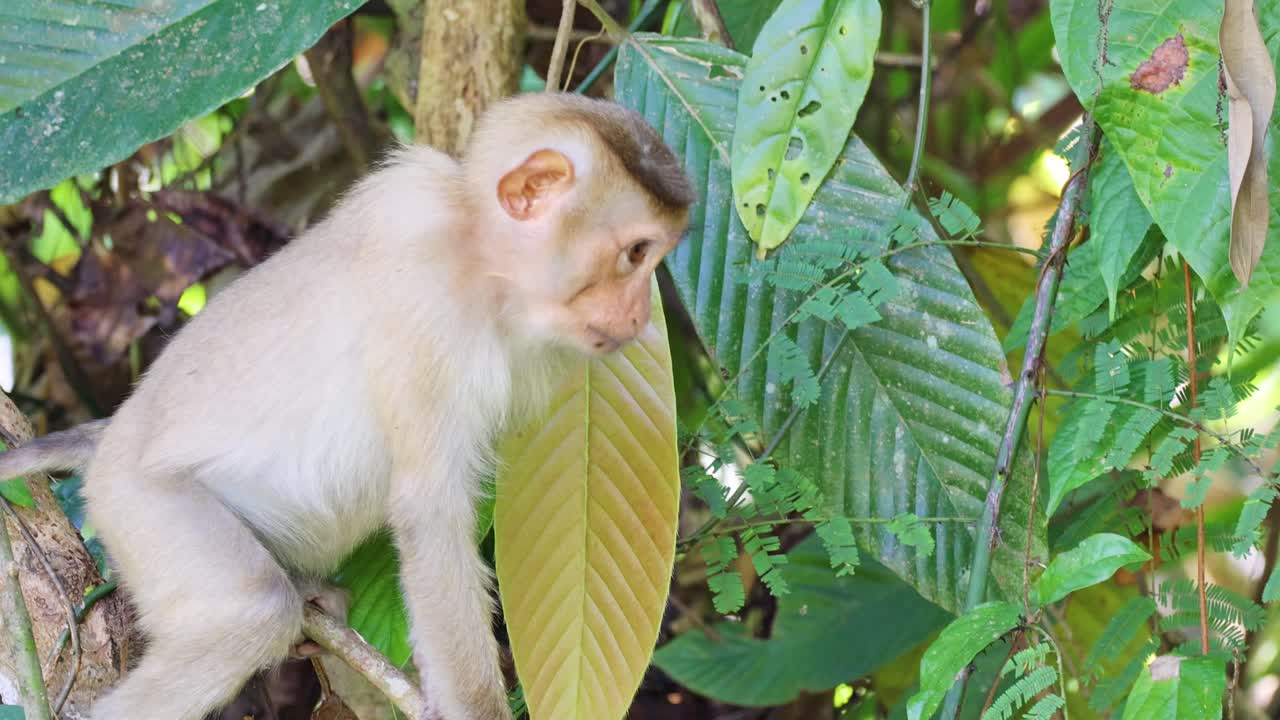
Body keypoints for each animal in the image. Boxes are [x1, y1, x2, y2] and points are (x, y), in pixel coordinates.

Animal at [0, 92, 694, 720]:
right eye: (636, 253)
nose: (640, 316)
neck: (480, 259)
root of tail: (112, 433)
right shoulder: (426, 301)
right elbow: (429, 511)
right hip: (139, 505)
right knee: (254, 611)